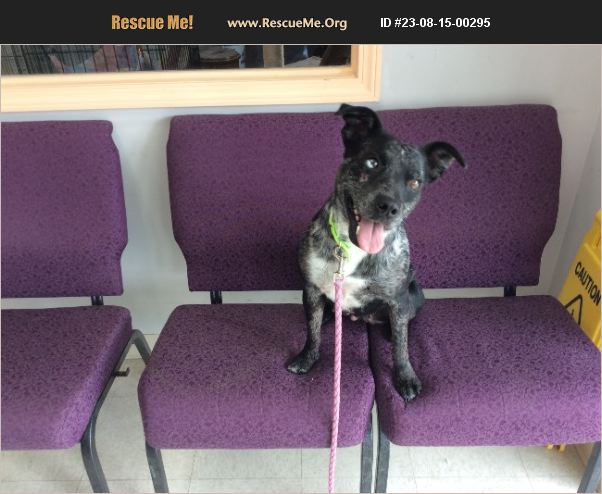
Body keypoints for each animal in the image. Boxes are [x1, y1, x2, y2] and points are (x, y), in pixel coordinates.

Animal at [287, 104, 465, 402]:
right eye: (372, 162)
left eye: (415, 183)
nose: (389, 206)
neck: (351, 249)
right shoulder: (311, 287)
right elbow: (312, 331)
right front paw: (307, 357)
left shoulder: (397, 300)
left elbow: (401, 349)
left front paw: (405, 376)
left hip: (413, 293)